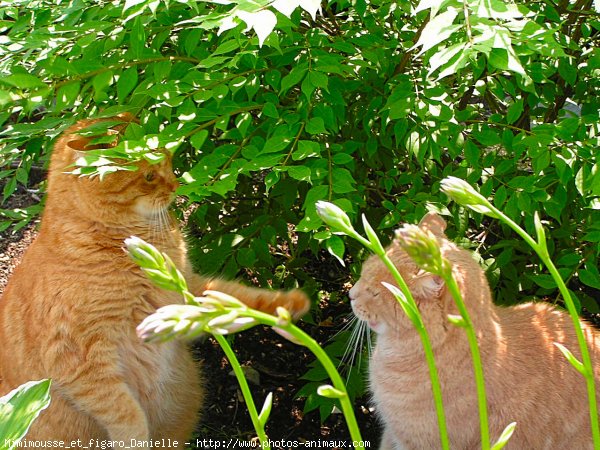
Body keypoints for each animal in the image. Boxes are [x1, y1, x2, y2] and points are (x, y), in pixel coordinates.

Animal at [0, 114, 310, 444]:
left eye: (169, 162)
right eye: (149, 176)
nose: (176, 184)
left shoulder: (186, 293)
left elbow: (239, 297)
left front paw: (287, 305)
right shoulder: (77, 358)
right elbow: (124, 412)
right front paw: (135, 441)